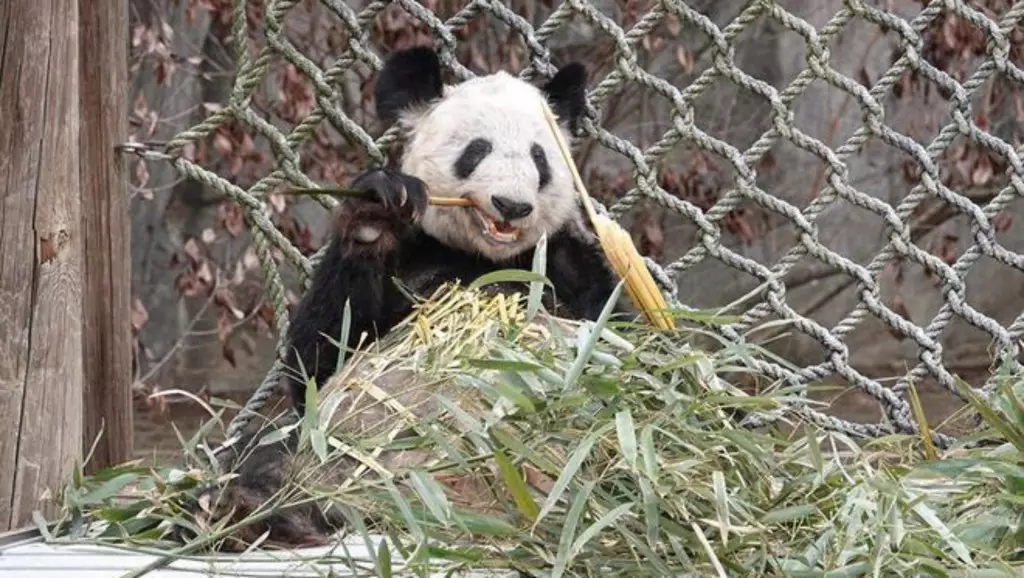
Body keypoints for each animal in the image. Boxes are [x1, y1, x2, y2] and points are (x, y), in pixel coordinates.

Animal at [200, 46, 628, 549]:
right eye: (477, 150)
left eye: (539, 158)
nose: (512, 205)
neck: (484, 256)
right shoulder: (412, 253)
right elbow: (318, 359)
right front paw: (375, 213)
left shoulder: (565, 266)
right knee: (263, 453)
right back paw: (258, 508)